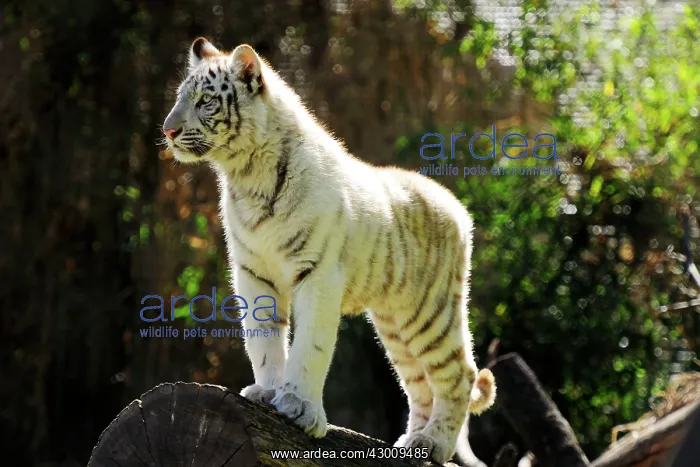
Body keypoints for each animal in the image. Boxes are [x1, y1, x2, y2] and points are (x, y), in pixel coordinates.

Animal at [162, 37, 496, 464]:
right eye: (180, 98)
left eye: (205, 101)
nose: (169, 130)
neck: (247, 175)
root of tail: (457, 207)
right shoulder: (254, 273)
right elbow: (263, 339)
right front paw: (267, 392)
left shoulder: (316, 272)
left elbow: (311, 345)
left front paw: (300, 408)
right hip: (395, 324)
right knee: (419, 383)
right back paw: (412, 442)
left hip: (430, 313)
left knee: (461, 374)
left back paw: (435, 443)